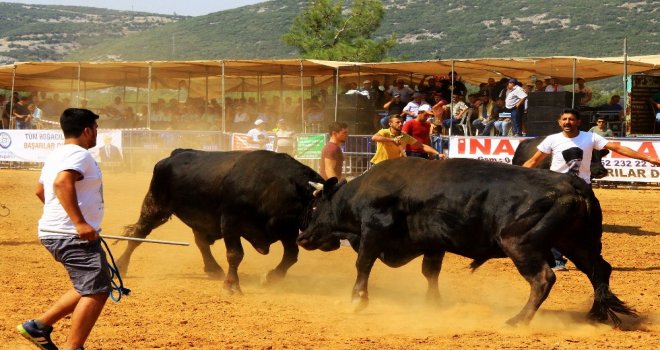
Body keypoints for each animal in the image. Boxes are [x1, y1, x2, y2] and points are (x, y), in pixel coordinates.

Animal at [119, 148, 328, 292]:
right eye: (318, 208)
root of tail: (174, 154)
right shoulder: (230, 222)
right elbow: (235, 254)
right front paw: (232, 285)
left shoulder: (287, 229)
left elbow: (291, 255)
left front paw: (271, 278)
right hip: (154, 206)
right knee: (137, 234)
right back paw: (121, 266)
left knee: (201, 243)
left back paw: (213, 268)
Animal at [296, 157, 636, 326]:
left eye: (313, 207)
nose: (301, 236)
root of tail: (573, 185)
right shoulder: (432, 243)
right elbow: (430, 272)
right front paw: (433, 303)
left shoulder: (373, 230)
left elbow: (363, 264)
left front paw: (358, 300)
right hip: (576, 242)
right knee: (599, 271)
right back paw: (595, 314)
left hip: (520, 244)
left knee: (543, 278)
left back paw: (519, 320)